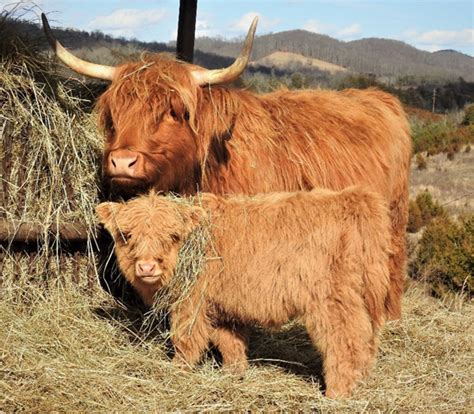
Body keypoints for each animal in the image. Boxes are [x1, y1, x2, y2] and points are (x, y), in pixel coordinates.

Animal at [41, 12, 412, 316]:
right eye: (114, 114)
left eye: (173, 112)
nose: (121, 162)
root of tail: (378, 97)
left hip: (394, 215)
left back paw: (390, 312)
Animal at [94, 187, 390, 398]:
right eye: (127, 235)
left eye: (173, 236)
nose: (146, 266)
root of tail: (350, 198)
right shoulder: (221, 305)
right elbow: (229, 341)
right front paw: (233, 373)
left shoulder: (191, 304)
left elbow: (185, 339)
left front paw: (178, 370)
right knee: (367, 339)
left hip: (332, 302)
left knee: (344, 343)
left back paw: (336, 394)